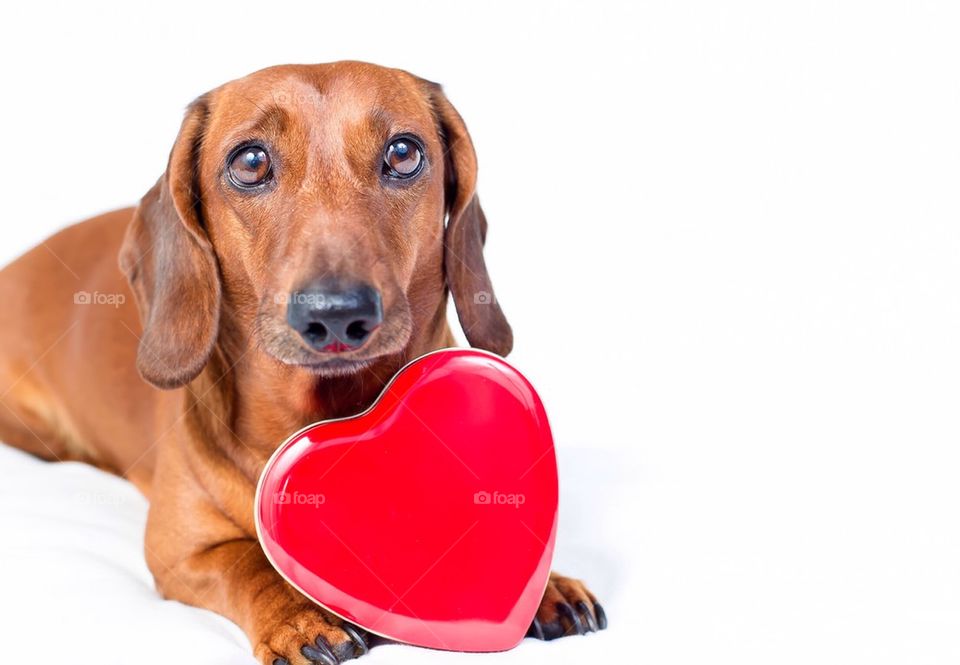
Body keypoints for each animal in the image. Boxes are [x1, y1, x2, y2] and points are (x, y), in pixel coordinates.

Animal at [0, 62, 604, 664]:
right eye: (250, 162)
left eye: (403, 152)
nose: (336, 315)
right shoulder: (180, 551)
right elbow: (246, 563)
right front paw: (297, 616)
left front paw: (544, 586)